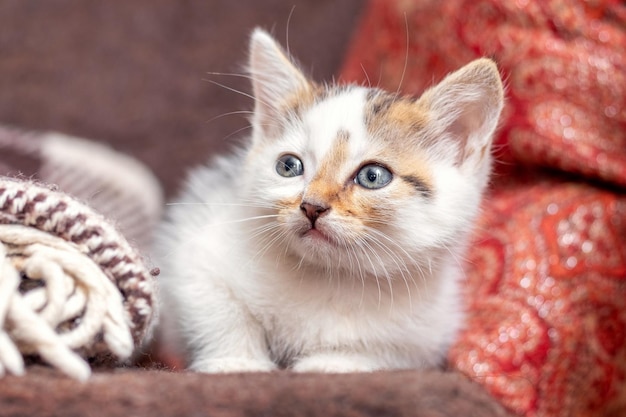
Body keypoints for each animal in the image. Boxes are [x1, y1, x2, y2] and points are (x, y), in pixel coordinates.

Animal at [155, 29, 502, 374]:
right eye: (288, 166)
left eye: (373, 176)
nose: (312, 206)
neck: (331, 276)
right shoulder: (198, 254)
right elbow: (219, 313)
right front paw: (237, 363)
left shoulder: (424, 337)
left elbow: (381, 354)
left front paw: (330, 363)